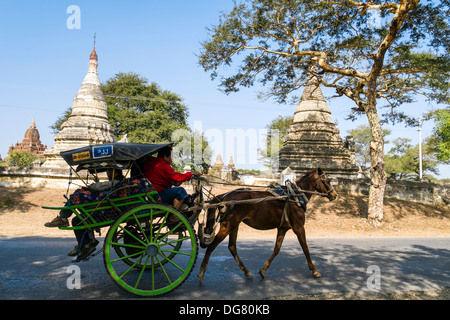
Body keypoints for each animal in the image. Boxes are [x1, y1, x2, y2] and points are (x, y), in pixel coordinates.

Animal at [197, 168, 338, 282]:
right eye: (327, 180)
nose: (334, 195)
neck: (295, 196)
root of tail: (223, 197)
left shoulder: (283, 228)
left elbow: (277, 249)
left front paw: (263, 270)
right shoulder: (298, 227)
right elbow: (306, 249)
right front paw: (314, 270)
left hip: (234, 225)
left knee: (232, 247)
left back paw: (246, 271)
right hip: (228, 225)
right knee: (212, 246)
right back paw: (202, 271)